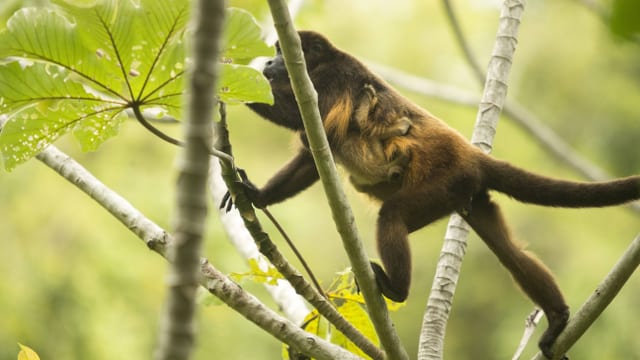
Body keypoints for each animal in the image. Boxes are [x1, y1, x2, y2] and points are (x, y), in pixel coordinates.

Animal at [226, 31, 640, 360]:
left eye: (282, 52)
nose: (269, 61)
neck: (318, 65)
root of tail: (471, 157)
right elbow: (312, 158)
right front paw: (257, 195)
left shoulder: (329, 82)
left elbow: (299, 118)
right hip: (468, 194)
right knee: (511, 253)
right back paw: (557, 318)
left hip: (442, 183)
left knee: (392, 216)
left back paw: (396, 288)